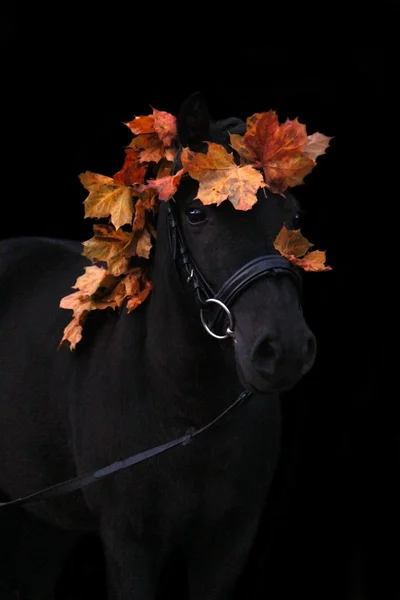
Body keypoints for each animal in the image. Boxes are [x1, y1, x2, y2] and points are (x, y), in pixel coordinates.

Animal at [0, 95, 318, 600]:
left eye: (295, 216)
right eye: (196, 214)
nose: (283, 350)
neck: (187, 412)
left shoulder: (227, 545)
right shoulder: (130, 544)